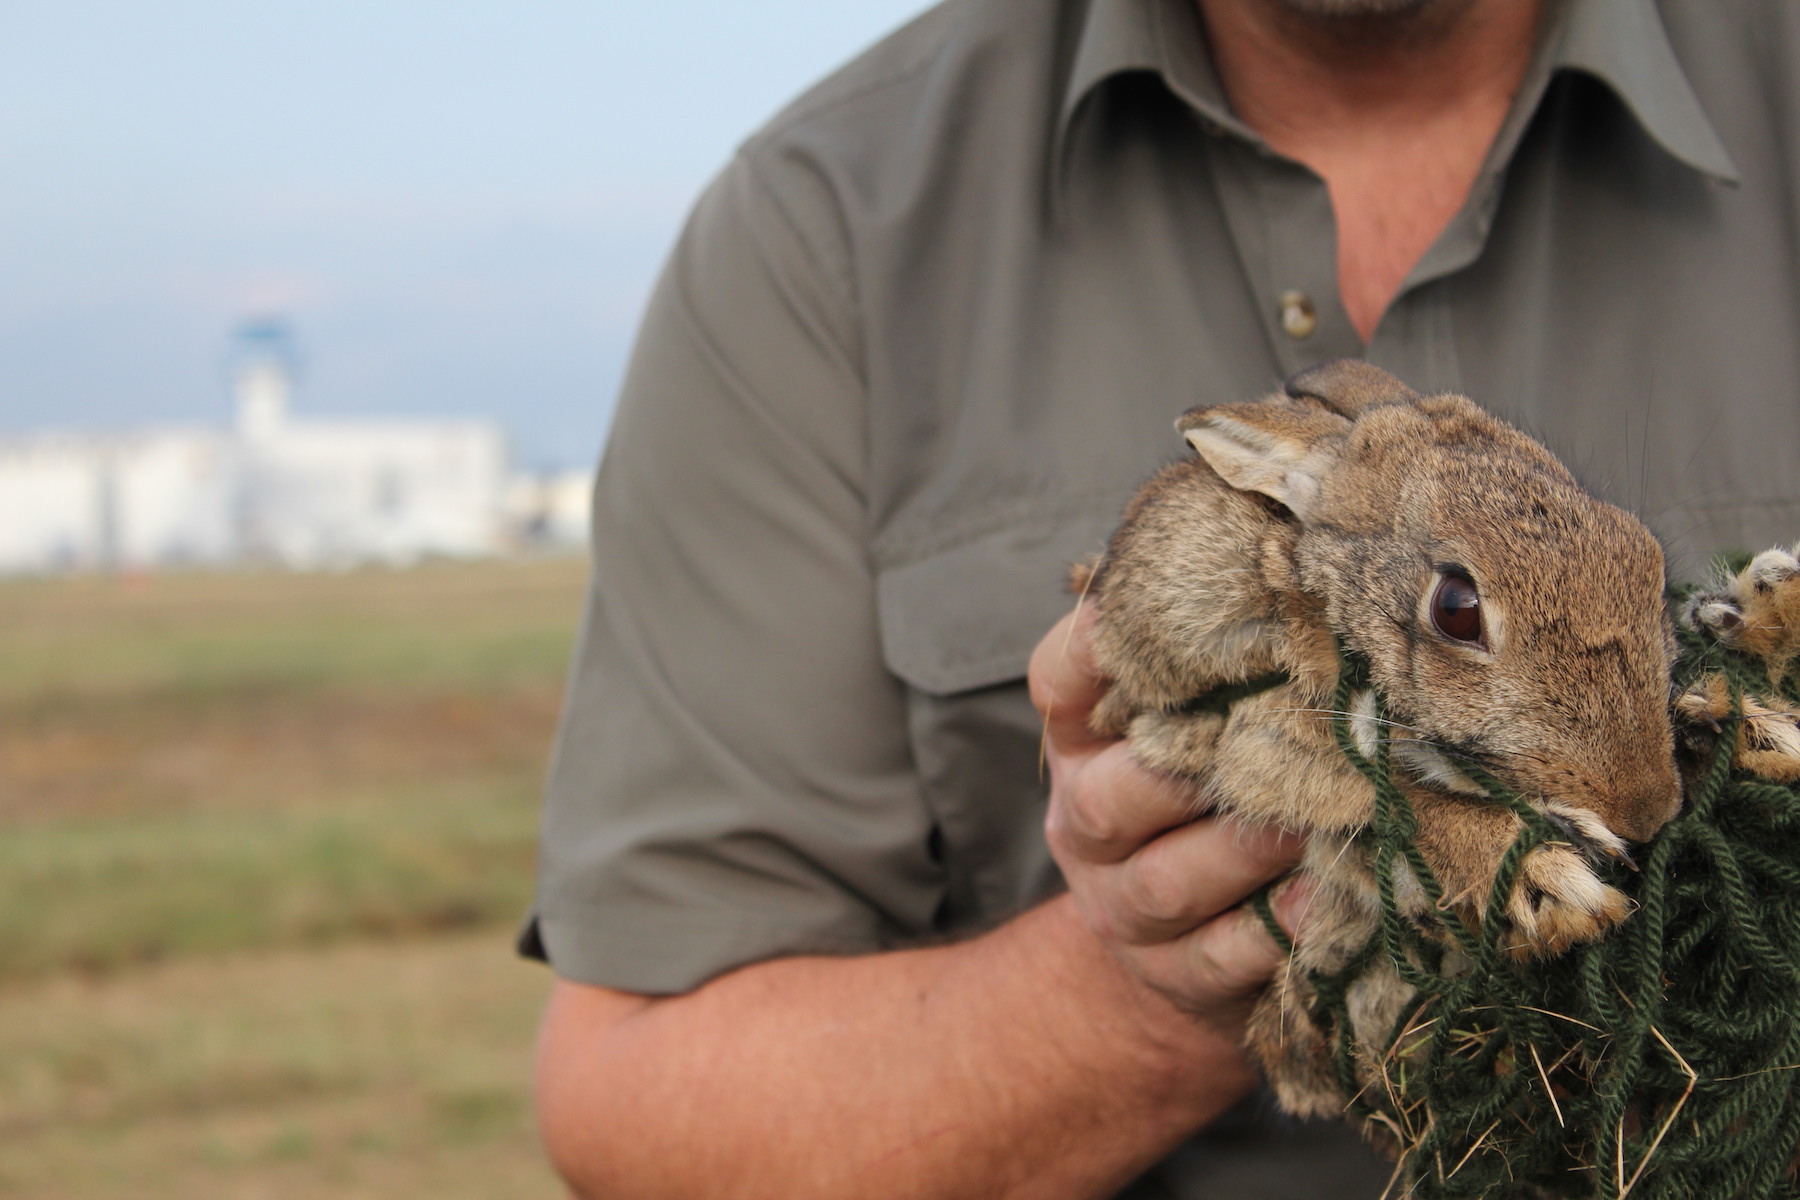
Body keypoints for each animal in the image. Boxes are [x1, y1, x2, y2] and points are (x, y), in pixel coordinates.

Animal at [1080, 361, 1684, 1122]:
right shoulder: (1257, 729)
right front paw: (1549, 873)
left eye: (1645, 555)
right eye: (1456, 609)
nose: (1647, 811)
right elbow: (1397, 800)